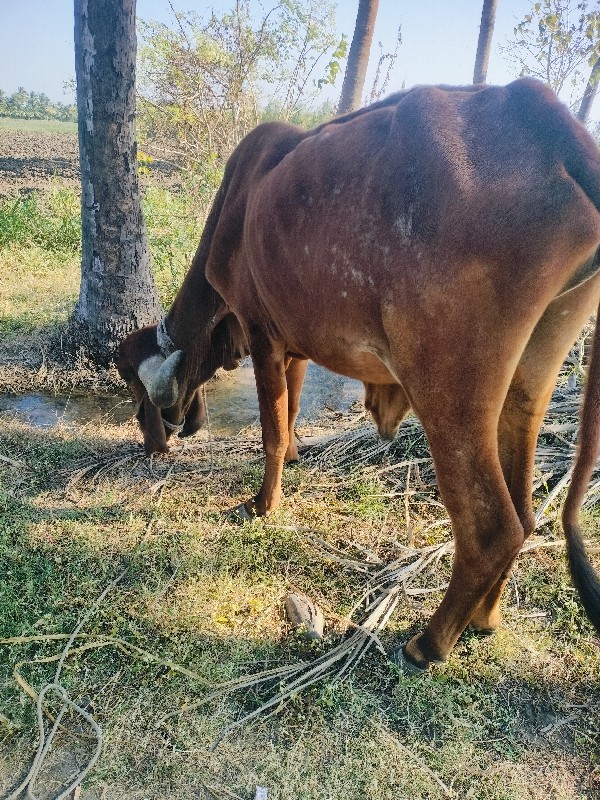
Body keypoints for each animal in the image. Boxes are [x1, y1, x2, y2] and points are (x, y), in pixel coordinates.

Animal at [117, 79, 600, 668]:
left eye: (132, 387)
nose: (150, 443)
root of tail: (541, 112)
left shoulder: (261, 332)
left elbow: (271, 430)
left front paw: (263, 504)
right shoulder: (293, 343)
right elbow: (291, 410)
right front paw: (296, 457)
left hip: (447, 387)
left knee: (493, 527)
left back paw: (430, 642)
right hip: (533, 372)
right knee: (525, 515)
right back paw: (485, 618)